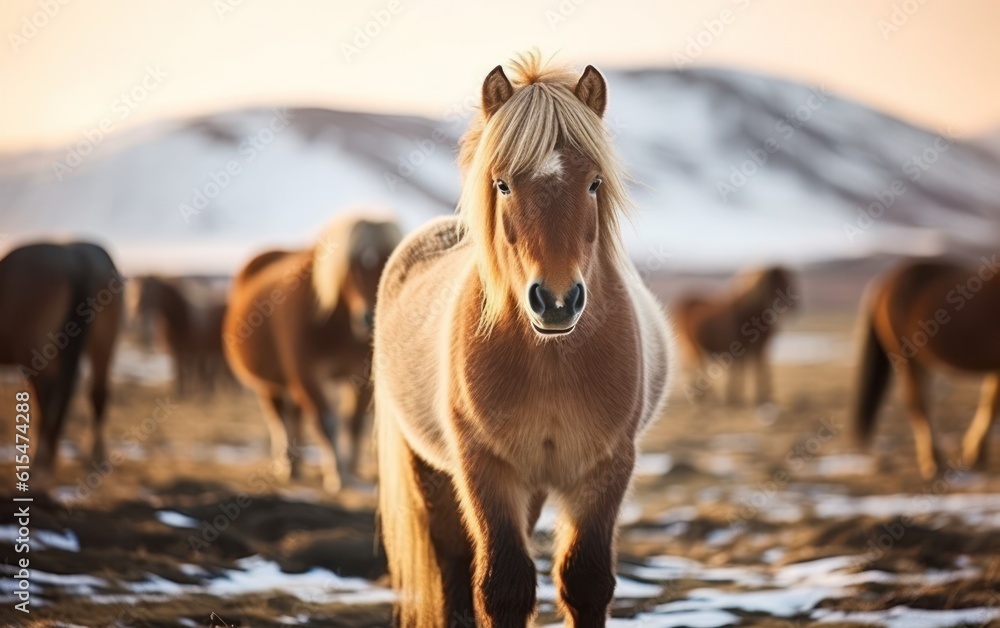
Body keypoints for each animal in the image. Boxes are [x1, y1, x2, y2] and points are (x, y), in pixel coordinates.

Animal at [0, 240, 123, 472]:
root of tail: (77, 262)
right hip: (102, 344)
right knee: (96, 392)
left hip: (35, 350)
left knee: (48, 396)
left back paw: (41, 462)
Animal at [225, 213, 400, 494]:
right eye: (351, 266)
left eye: (388, 259)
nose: (369, 316)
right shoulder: (307, 375)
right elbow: (326, 421)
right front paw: (337, 475)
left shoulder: (361, 374)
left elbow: (353, 422)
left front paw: (351, 469)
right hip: (270, 384)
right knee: (279, 420)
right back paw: (285, 466)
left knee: (294, 417)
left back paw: (296, 467)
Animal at [374, 55, 672, 628]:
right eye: (503, 184)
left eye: (595, 183)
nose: (556, 301)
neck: (551, 362)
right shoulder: (486, 468)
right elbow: (502, 587)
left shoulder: (605, 468)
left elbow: (585, 581)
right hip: (434, 473)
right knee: (452, 561)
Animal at [672, 266, 796, 404]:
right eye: (778, 281)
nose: (794, 305)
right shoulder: (742, 348)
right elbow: (742, 371)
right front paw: (736, 398)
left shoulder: (757, 348)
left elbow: (757, 370)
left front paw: (756, 397)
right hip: (691, 342)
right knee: (695, 365)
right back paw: (708, 397)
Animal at [852, 258, 1000, 478]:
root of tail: (883, 285)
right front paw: (974, 454)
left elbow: (990, 403)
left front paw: (975, 454)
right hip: (907, 356)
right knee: (917, 402)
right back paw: (933, 462)